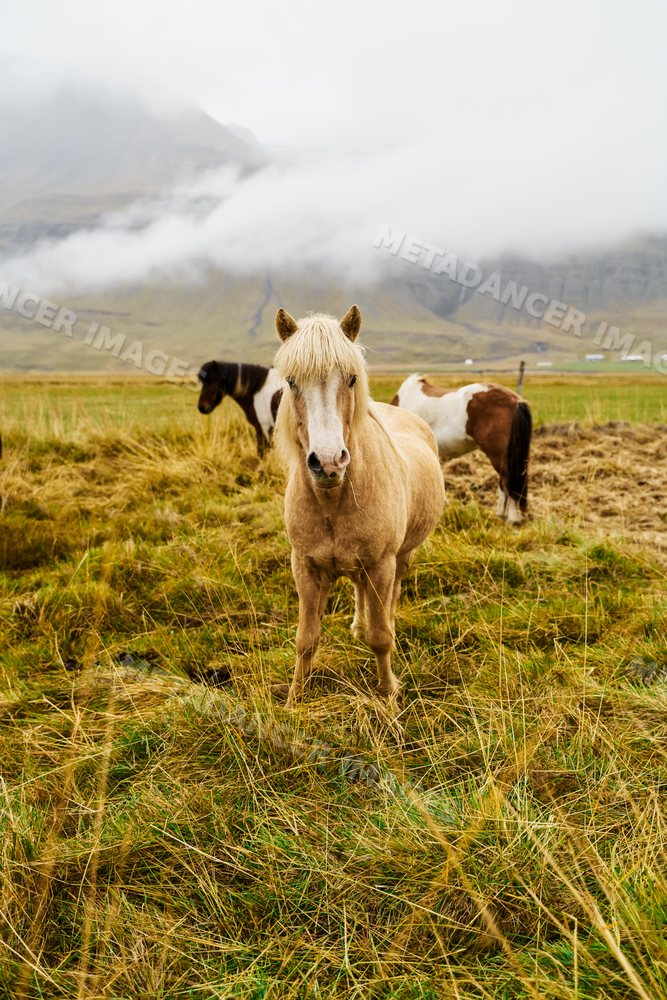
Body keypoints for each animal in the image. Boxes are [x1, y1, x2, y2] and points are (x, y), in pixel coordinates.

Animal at [273, 307, 445, 706]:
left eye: (351, 379)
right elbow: (306, 640)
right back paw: (356, 622)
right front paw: (294, 699)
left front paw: (389, 695)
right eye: (291, 381)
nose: (328, 462)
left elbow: (380, 638)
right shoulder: (304, 566)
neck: (332, 503)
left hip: (401, 558)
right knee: (359, 591)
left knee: (391, 597)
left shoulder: (381, 564)